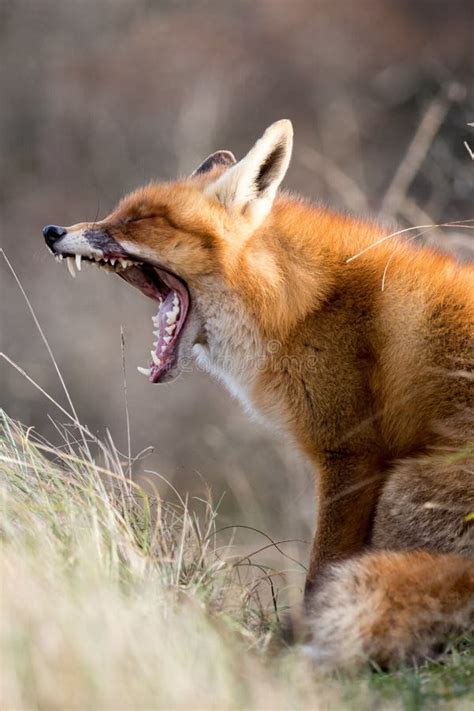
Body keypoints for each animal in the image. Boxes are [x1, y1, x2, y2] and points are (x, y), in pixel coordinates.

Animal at [42, 119, 472, 672]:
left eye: (140, 220)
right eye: (118, 212)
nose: (52, 232)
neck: (298, 300)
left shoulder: (351, 455)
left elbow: (319, 572)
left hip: (404, 488)